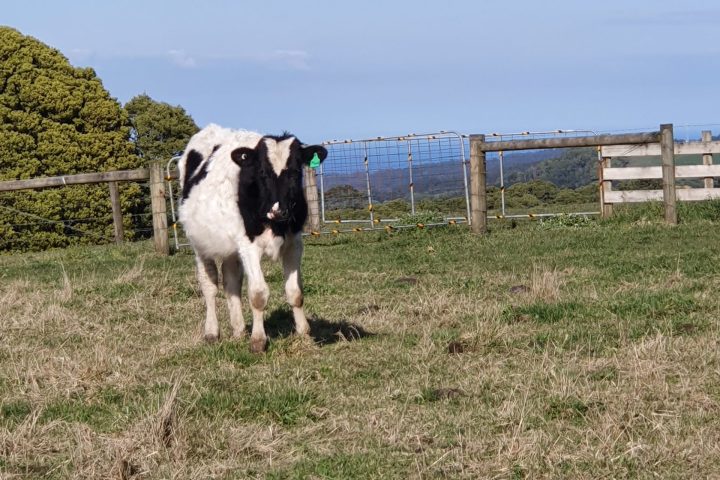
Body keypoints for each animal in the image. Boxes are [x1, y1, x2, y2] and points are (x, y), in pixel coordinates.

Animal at [178, 124, 327, 353]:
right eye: (262, 172)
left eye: (295, 172)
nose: (278, 210)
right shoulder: (248, 246)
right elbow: (257, 294)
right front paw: (258, 340)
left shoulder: (294, 243)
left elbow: (295, 292)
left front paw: (304, 334)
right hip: (200, 243)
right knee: (209, 286)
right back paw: (212, 332)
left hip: (231, 248)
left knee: (231, 282)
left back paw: (238, 330)